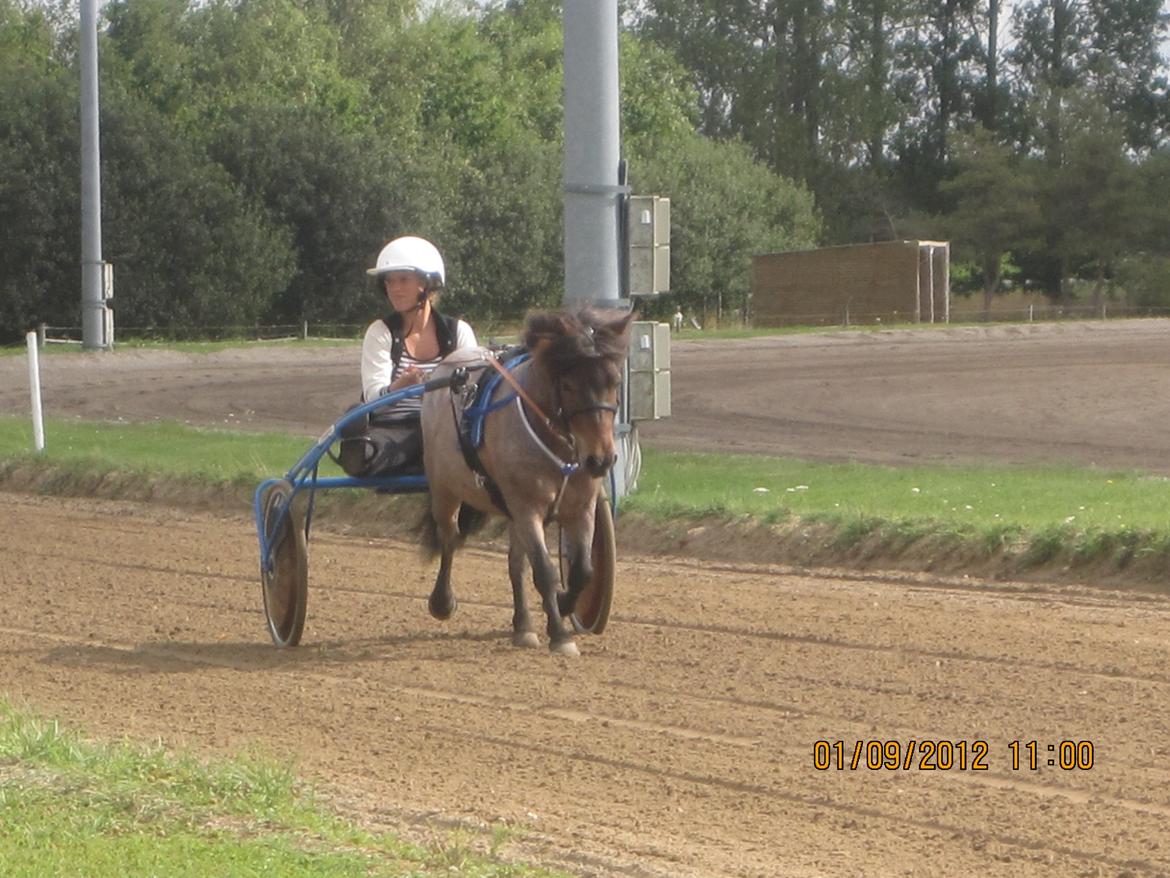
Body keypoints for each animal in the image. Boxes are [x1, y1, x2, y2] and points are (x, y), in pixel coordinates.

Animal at [421, 306, 636, 655]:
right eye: (568, 384)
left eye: (614, 381)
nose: (601, 459)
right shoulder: (527, 508)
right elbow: (545, 571)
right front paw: (560, 634)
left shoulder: (581, 507)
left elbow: (583, 571)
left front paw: (563, 604)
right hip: (444, 489)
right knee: (450, 537)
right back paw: (443, 601)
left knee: (515, 564)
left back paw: (523, 626)